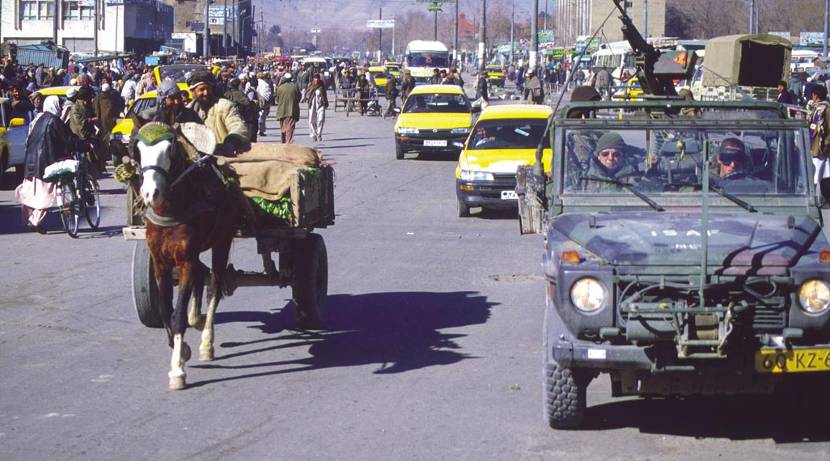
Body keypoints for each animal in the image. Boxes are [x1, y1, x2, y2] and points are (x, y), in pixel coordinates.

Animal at [136, 121, 240, 388]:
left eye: (170, 149)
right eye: (138, 150)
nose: (150, 193)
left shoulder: (185, 261)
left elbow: (178, 316)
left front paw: (177, 370)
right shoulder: (160, 263)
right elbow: (165, 312)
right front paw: (180, 350)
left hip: (222, 242)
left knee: (214, 285)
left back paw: (206, 342)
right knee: (202, 276)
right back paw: (198, 320)